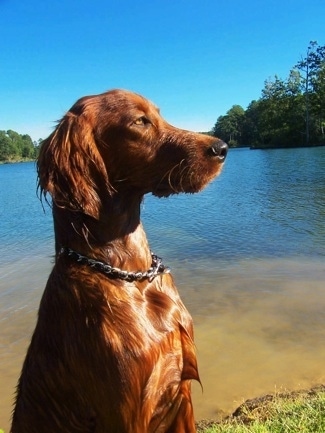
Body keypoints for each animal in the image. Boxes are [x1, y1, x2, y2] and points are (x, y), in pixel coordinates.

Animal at [11, 89, 227, 430]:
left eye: (159, 115)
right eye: (140, 121)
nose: (222, 148)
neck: (133, 277)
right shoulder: (128, 414)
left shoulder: (183, 396)